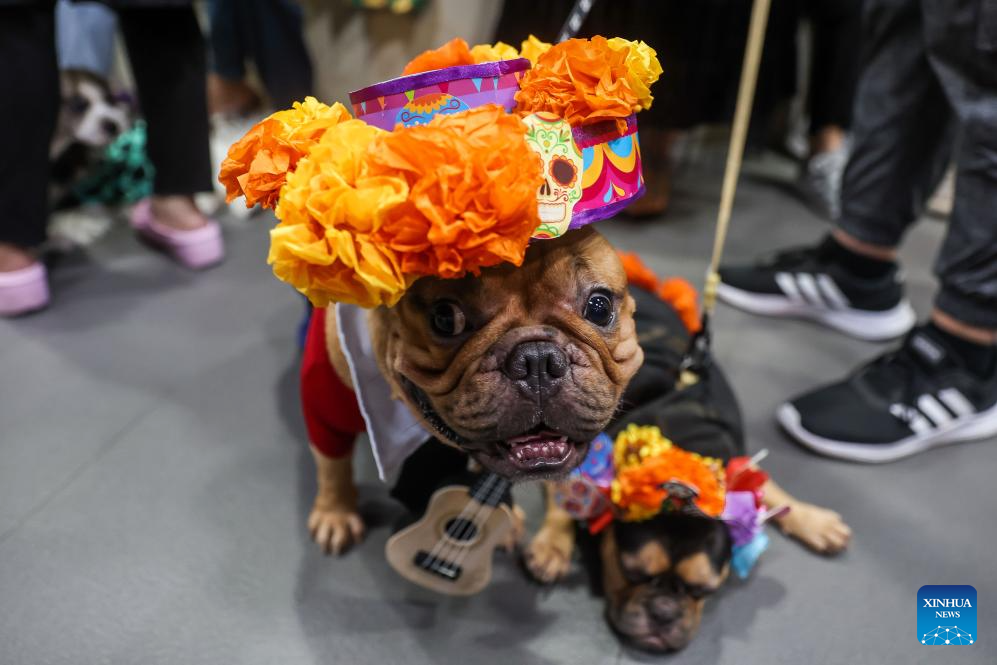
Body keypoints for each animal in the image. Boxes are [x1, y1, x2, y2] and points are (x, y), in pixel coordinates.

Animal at [308, 227, 640, 548]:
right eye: (445, 318)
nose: (537, 360)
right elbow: (332, 464)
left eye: (599, 307)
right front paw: (335, 513)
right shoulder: (327, 404)